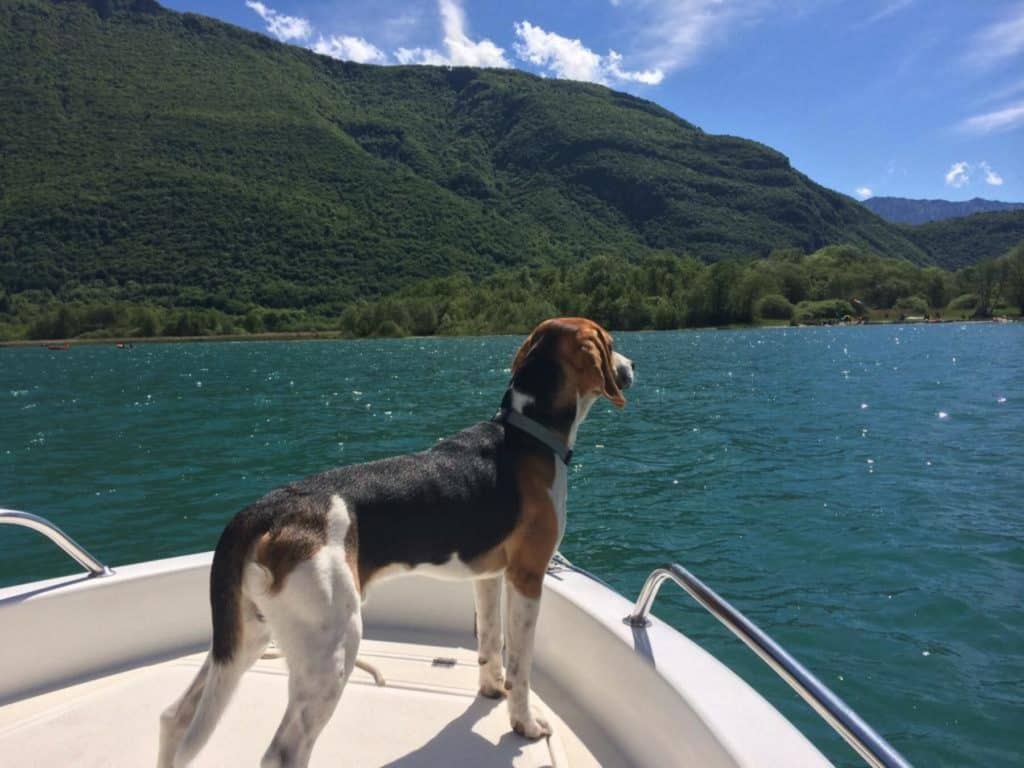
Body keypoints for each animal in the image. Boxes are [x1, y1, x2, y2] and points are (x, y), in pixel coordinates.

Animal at [158, 317, 630, 768]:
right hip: (332, 647)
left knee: (174, 717)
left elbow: (489, 643)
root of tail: (264, 508)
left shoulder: (489, 576)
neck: (529, 431)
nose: (630, 367)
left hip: (247, 636)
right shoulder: (528, 575)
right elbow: (520, 663)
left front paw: (490, 690)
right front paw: (524, 724)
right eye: (609, 342)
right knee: (283, 752)